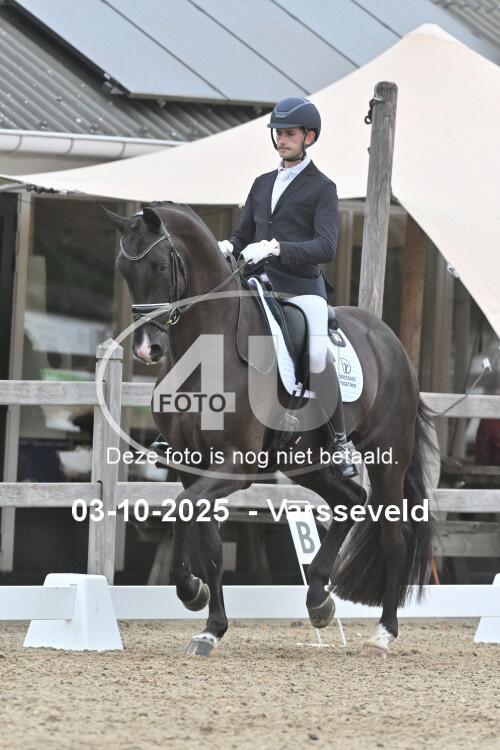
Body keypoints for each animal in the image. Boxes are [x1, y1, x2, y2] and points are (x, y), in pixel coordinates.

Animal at [105, 203, 434, 657]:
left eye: (159, 265)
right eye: (123, 269)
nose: (146, 350)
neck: (207, 350)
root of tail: (390, 340)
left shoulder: (237, 466)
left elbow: (184, 509)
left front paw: (194, 596)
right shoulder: (192, 464)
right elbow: (202, 533)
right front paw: (206, 619)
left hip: (388, 457)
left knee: (392, 535)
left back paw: (382, 633)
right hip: (303, 460)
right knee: (350, 499)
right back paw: (319, 601)